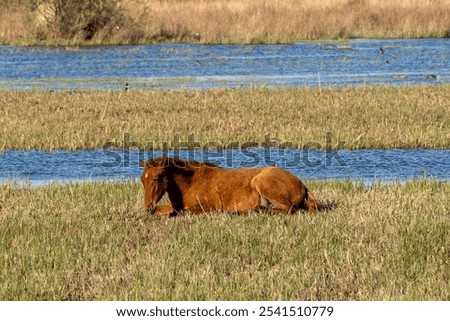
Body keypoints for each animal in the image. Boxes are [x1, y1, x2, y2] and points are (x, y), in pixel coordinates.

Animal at [139, 155, 318, 218]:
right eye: (142, 180)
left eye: (157, 178)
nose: (147, 206)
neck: (189, 183)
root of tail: (303, 186)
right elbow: (162, 210)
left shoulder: (208, 207)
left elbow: (181, 212)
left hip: (263, 183)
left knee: (288, 209)